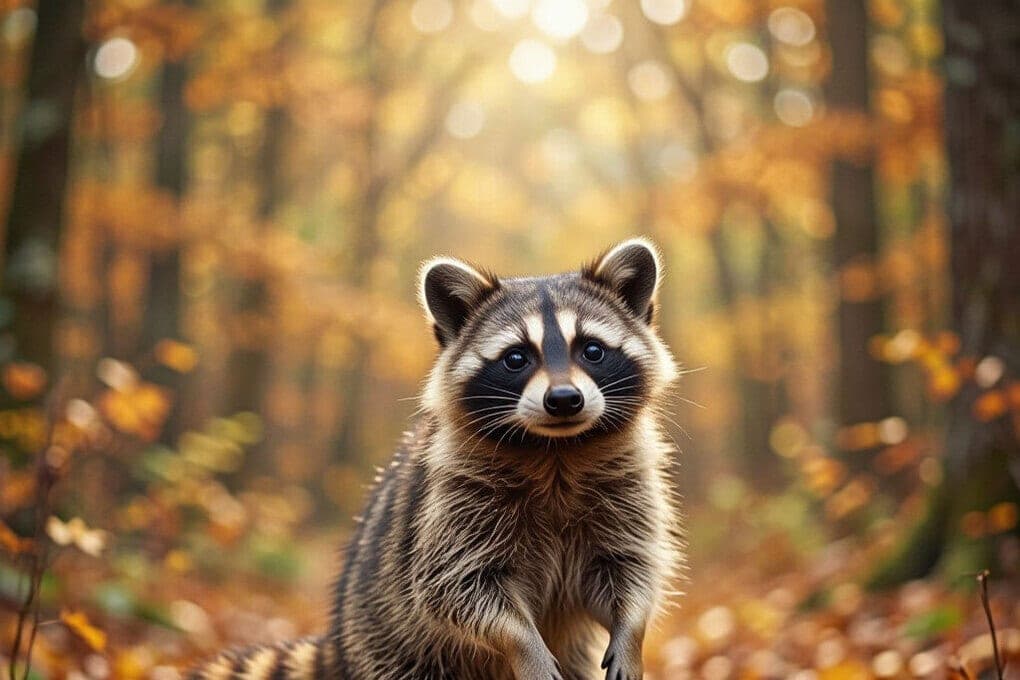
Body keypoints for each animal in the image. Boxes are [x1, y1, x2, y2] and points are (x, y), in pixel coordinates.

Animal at [189, 238, 682, 680]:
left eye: (592, 350)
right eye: (516, 358)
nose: (564, 400)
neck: (555, 449)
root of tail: (338, 645)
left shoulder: (627, 484)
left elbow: (629, 567)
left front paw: (631, 631)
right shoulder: (451, 502)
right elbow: (458, 588)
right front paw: (525, 646)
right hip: (392, 647)